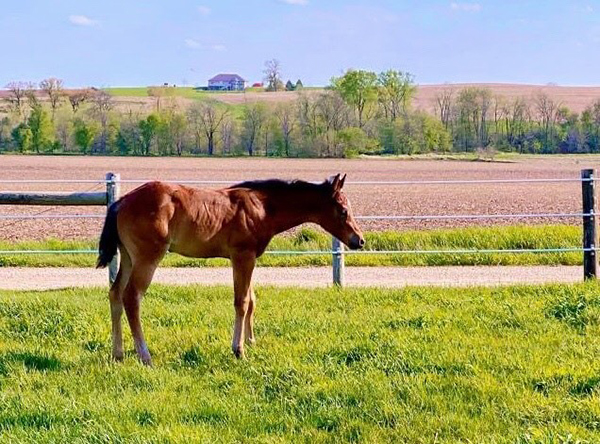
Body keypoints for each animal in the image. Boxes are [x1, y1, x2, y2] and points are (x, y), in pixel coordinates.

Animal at [96, 173, 364, 364]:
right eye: (343, 211)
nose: (359, 241)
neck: (262, 208)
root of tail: (120, 202)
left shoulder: (250, 258)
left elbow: (252, 300)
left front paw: (251, 341)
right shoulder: (242, 256)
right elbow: (242, 302)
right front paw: (238, 350)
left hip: (128, 257)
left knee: (115, 293)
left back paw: (118, 354)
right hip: (147, 258)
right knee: (132, 297)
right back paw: (145, 356)